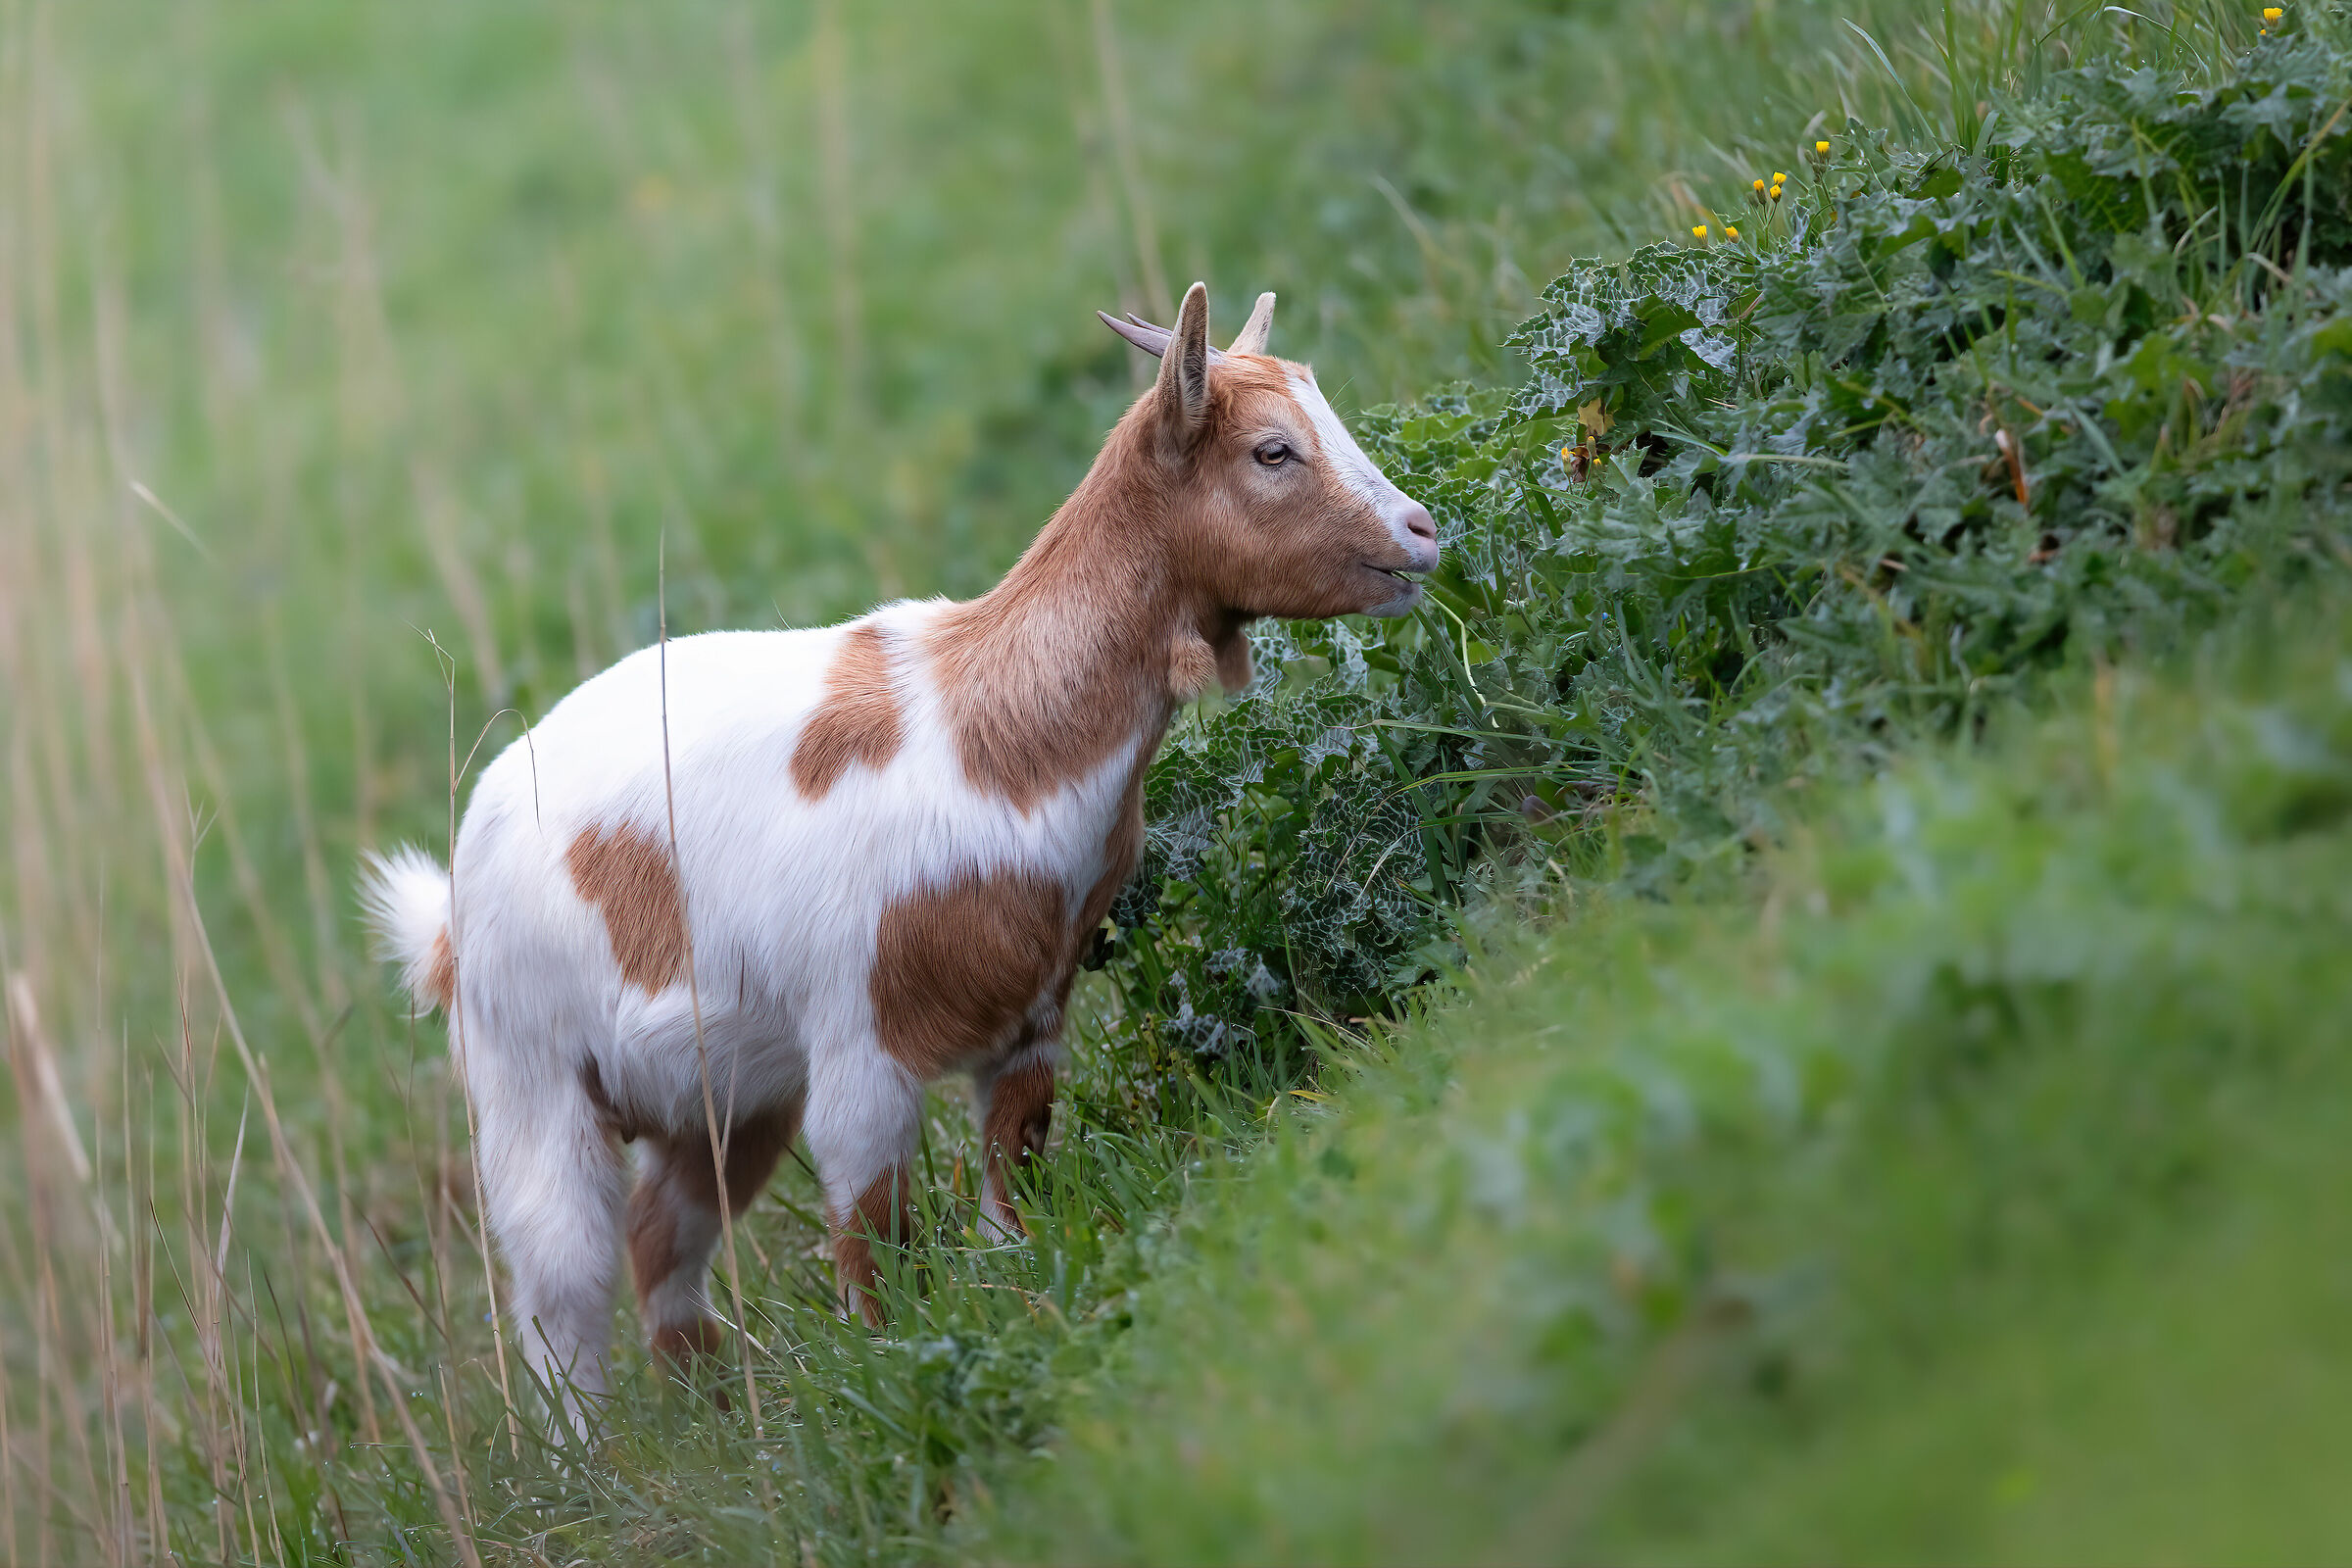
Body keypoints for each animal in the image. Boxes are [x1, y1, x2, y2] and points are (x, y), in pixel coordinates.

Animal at [363, 283, 1439, 1416]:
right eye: (1273, 451)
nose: (1421, 532)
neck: (989, 743)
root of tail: (448, 917)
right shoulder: (858, 1042)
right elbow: (872, 1235)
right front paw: (892, 1367)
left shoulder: (1032, 1013)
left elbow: (1014, 1167)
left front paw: (1015, 1289)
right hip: (528, 1074)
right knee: (559, 1288)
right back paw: (598, 1449)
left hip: (727, 1090)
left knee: (663, 1237)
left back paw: (715, 1417)